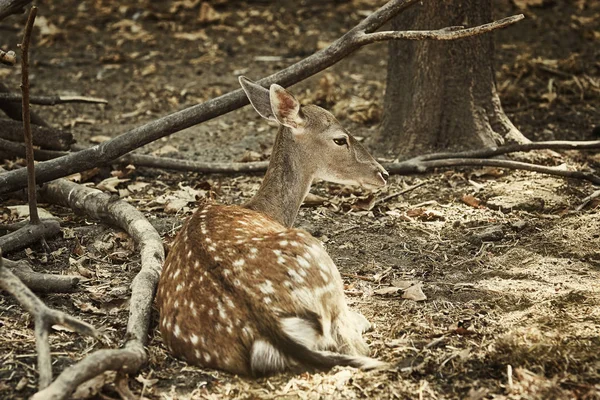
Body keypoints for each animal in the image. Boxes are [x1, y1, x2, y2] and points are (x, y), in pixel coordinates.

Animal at [155, 76, 390, 376]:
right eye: (340, 139)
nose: (383, 174)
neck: (266, 210)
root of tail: (266, 322)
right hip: (317, 256)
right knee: (352, 344)